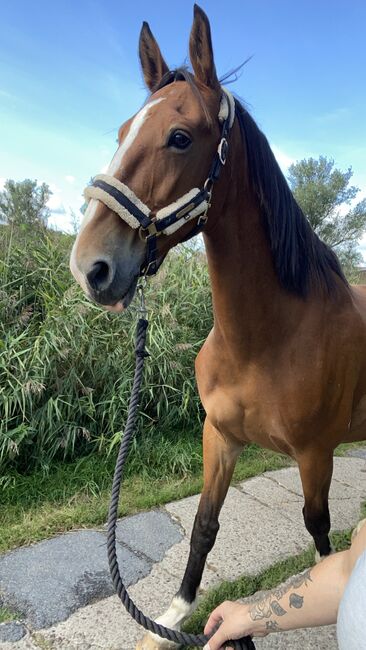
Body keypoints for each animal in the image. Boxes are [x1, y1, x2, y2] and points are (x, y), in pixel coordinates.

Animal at [70, 6, 366, 648]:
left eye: (180, 137)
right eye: (122, 132)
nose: (89, 267)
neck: (265, 340)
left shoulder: (316, 454)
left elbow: (321, 534)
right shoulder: (221, 437)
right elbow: (205, 526)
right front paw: (173, 617)